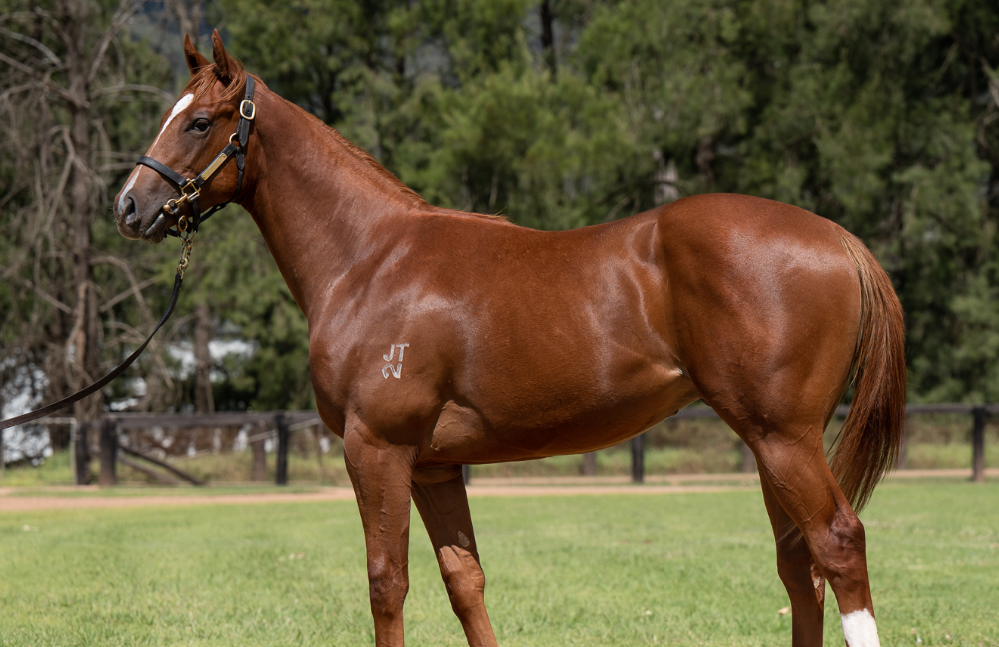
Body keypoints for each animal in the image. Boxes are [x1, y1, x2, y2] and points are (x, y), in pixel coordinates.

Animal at [114, 31, 905, 647]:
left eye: (200, 122)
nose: (129, 205)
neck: (370, 258)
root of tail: (835, 237)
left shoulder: (377, 448)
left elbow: (385, 581)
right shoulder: (434, 466)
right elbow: (464, 579)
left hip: (783, 436)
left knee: (838, 545)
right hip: (771, 442)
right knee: (797, 564)